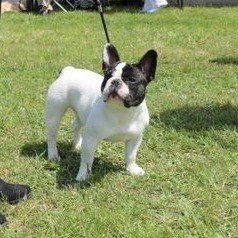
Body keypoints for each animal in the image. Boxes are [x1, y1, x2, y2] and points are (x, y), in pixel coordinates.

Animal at [46, 43, 158, 180]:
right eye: (107, 77)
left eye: (131, 80)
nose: (115, 81)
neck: (121, 111)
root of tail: (69, 71)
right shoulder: (91, 139)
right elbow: (87, 159)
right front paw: (83, 176)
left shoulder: (135, 137)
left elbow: (131, 155)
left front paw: (132, 169)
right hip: (54, 113)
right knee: (51, 136)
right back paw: (53, 155)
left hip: (81, 113)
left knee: (76, 125)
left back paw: (77, 144)